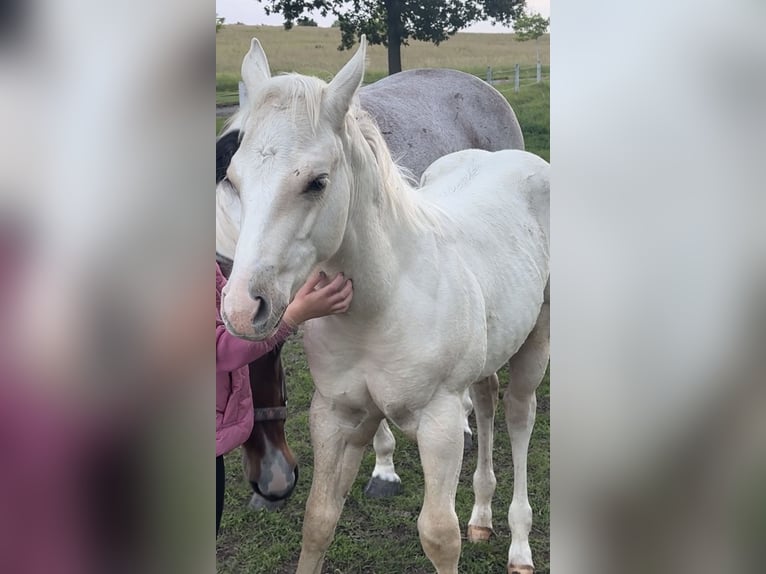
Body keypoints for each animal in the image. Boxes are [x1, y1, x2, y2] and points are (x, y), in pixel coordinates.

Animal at [221, 35, 550, 574]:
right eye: (232, 178)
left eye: (317, 181)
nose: (242, 310)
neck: (381, 307)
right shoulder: (335, 416)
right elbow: (318, 519)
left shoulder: (439, 423)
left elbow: (439, 535)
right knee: (485, 401)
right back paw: (481, 515)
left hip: (535, 345)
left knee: (519, 418)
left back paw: (519, 545)